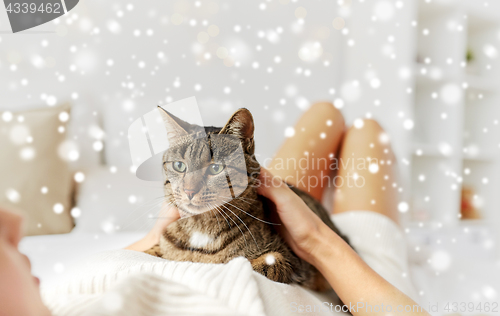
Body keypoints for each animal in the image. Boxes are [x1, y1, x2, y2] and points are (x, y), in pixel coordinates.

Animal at [144, 107, 348, 290]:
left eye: (216, 168)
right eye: (179, 166)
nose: (189, 190)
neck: (200, 228)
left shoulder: (291, 261)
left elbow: (251, 265)